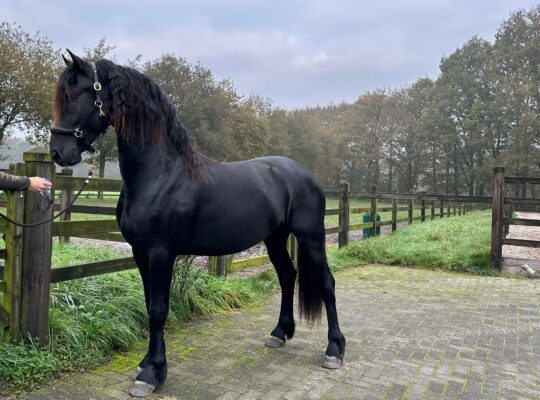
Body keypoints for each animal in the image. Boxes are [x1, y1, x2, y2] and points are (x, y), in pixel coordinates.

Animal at [49, 50, 346, 396]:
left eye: (78, 94)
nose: (58, 153)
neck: (161, 174)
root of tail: (305, 174)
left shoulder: (162, 253)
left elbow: (159, 310)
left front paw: (150, 374)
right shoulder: (140, 252)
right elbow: (150, 303)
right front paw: (150, 364)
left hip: (311, 237)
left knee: (327, 283)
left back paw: (334, 350)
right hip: (275, 238)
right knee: (287, 276)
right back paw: (279, 333)